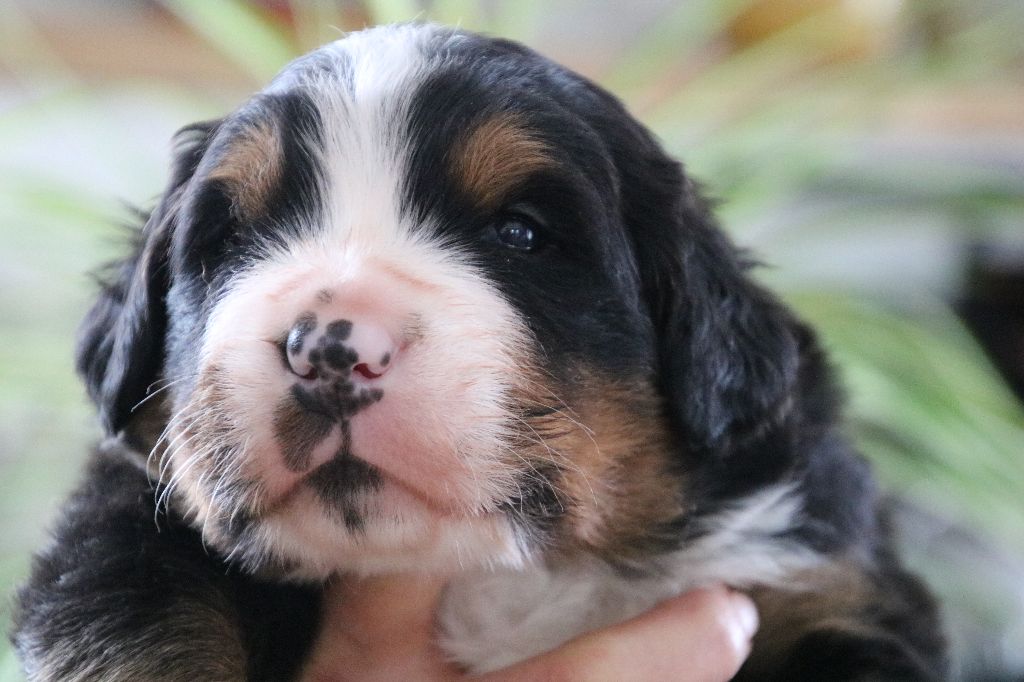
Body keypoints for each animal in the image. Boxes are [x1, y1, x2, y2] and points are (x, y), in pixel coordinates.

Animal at [12, 23, 946, 675]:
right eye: (231, 239)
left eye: (522, 233)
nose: (329, 350)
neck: (510, 575)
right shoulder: (137, 514)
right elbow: (144, 619)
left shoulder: (822, 582)